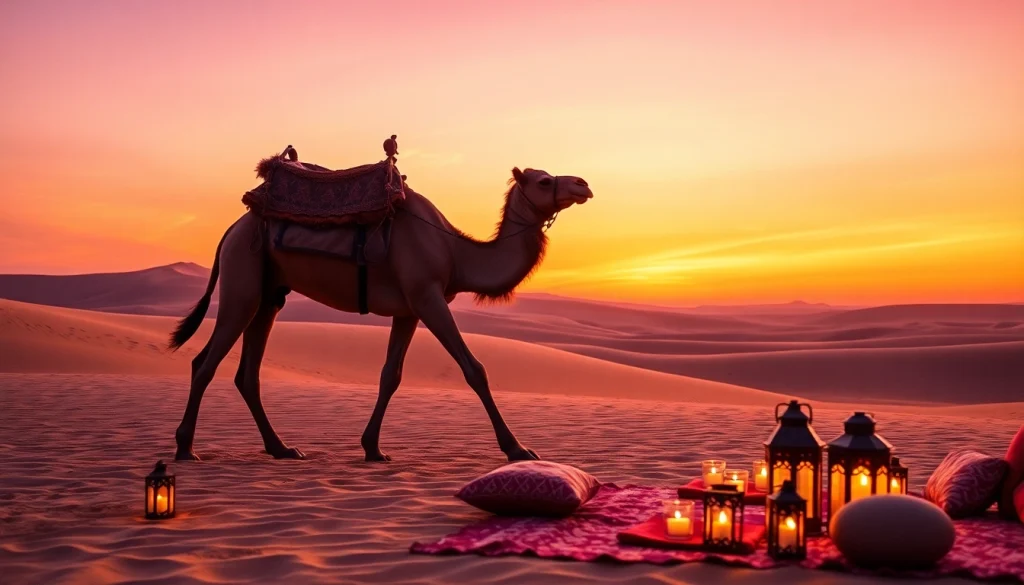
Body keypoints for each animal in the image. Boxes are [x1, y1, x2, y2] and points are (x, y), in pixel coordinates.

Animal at [168, 167, 594, 462]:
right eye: (543, 181)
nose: (583, 184)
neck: (456, 253)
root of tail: (230, 231)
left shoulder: (409, 309)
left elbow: (391, 375)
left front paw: (372, 448)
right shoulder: (428, 296)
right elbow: (474, 369)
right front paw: (518, 449)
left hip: (268, 294)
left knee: (247, 373)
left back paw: (282, 448)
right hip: (242, 283)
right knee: (204, 362)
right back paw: (186, 449)